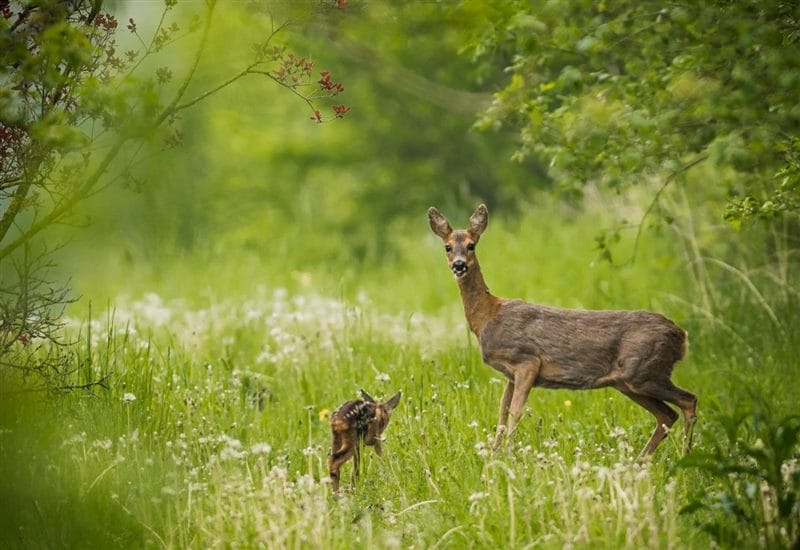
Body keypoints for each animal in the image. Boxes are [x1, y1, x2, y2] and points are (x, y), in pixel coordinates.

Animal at [428, 205, 696, 460]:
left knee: (688, 401)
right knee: (668, 415)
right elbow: (502, 412)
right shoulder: (510, 374)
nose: (459, 265)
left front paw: (508, 455)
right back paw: (643, 460)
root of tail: (681, 336)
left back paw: (684, 455)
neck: (488, 315)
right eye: (447, 247)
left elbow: (516, 411)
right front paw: (493, 455)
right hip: (629, 382)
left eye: (471, 245)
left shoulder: (526, 361)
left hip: (644, 372)